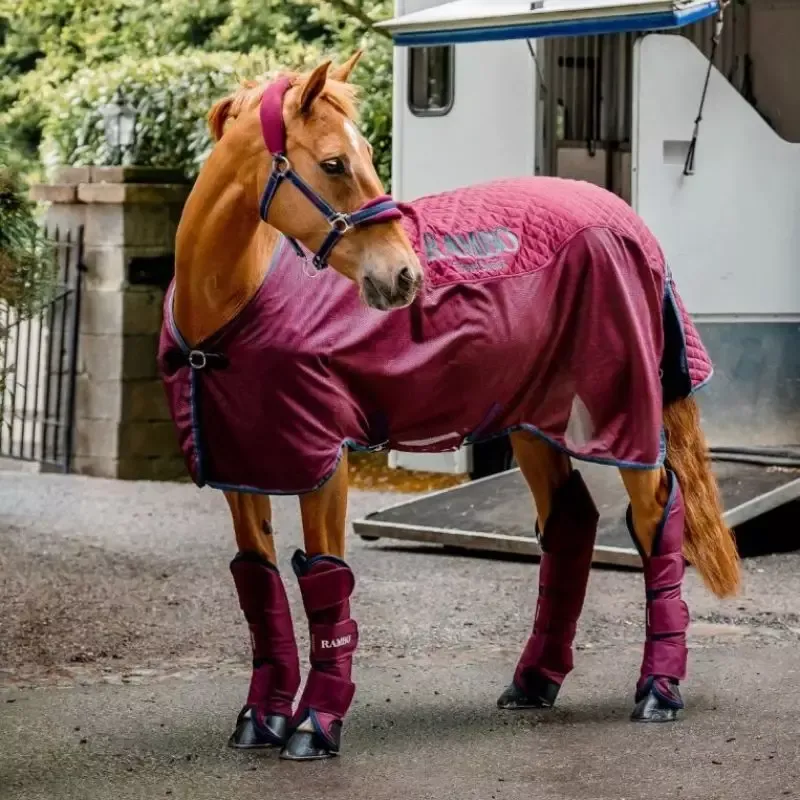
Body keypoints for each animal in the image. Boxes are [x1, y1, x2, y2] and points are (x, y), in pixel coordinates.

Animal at [159, 51, 741, 762]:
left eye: (365, 154)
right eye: (333, 163)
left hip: (624, 415)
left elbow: (325, 584)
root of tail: (626, 219)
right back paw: (534, 682)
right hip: (533, 419)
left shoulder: (324, 464)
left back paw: (659, 689)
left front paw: (315, 726)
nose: (404, 277)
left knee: (657, 522)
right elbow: (259, 585)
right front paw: (260, 719)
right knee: (569, 526)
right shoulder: (242, 467)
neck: (231, 305)